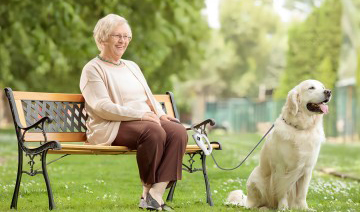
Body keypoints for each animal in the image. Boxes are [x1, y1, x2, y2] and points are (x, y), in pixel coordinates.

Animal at [228, 80, 332, 210]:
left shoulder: (307, 169)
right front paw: (283, 208)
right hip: (255, 177)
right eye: (311, 88)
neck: (300, 129)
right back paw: (262, 208)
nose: (328, 92)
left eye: (323, 87)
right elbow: (283, 191)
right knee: (255, 204)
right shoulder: (281, 168)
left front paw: (304, 208)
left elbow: (302, 194)